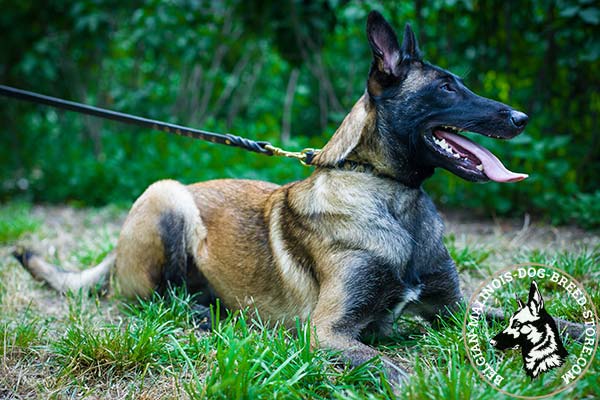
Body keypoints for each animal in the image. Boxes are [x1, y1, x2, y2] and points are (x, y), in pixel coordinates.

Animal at [12, 11, 528, 384]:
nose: (521, 118)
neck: (390, 195)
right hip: (168, 197)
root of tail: (116, 252)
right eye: (446, 87)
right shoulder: (328, 332)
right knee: (154, 299)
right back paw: (203, 313)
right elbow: (395, 369)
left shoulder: (454, 309)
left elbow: (521, 318)